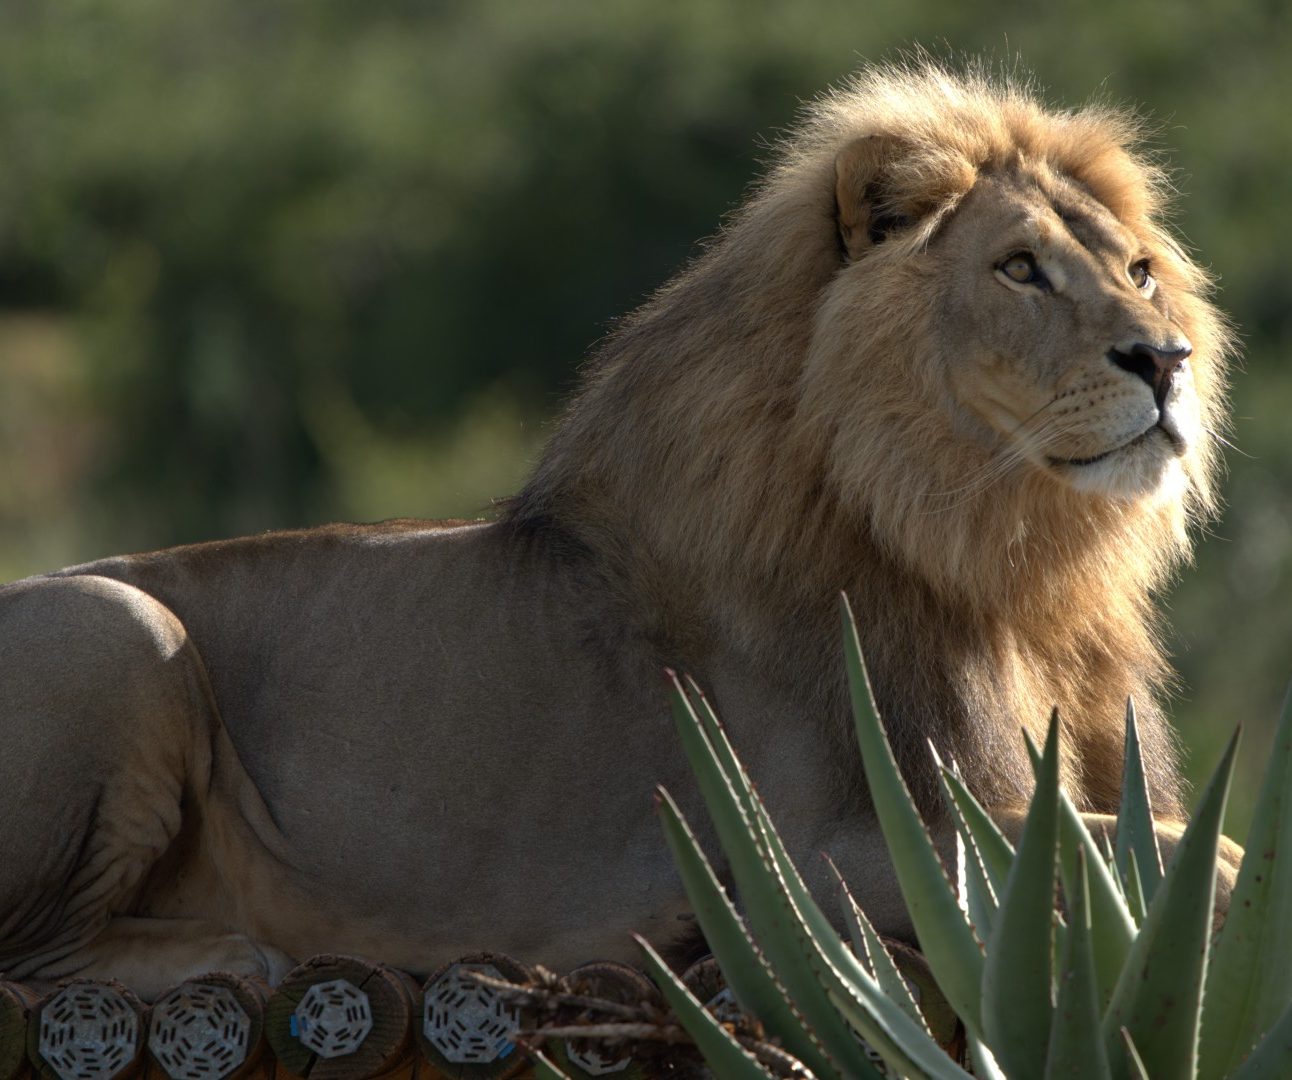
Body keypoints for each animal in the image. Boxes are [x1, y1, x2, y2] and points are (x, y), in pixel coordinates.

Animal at [0, 63, 1235, 997]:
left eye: (1139, 271)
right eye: (1019, 268)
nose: (1164, 359)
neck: (1011, 566)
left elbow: (1180, 841)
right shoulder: (811, 860)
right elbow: (1177, 858)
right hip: (120, 622)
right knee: (32, 955)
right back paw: (246, 952)